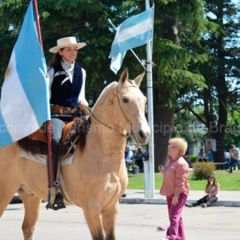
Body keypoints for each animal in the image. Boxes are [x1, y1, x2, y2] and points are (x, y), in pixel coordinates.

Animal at [0, 68, 150, 239]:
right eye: (125, 99)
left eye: (144, 100)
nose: (144, 134)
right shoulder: (91, 208)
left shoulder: (112, 207)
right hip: (5, 191)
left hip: (30, 195)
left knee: (27, 228)